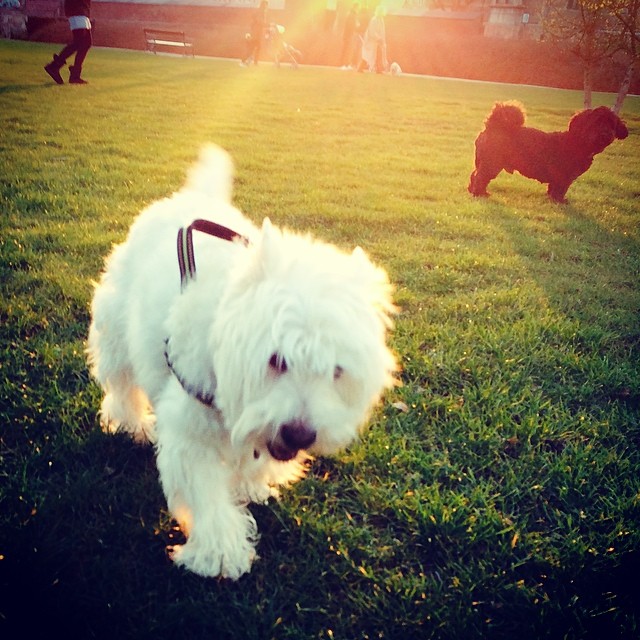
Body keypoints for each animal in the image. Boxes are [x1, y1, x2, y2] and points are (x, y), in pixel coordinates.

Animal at [85, 145, 396, 580]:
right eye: (276, 359)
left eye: (337, 371)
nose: (300, 434)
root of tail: (194, 197)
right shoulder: (189, 427)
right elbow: (205, 493)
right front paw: (219, 554)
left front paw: (252, 483)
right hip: (116, 328)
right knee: (121, 385)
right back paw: (131, 424)